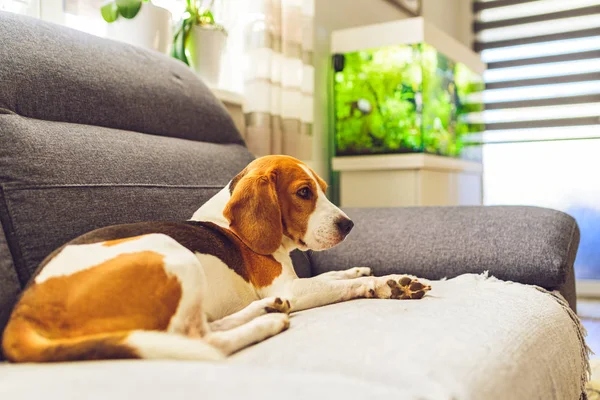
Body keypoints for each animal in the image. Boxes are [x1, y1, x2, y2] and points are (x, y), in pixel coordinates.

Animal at [1, 155, 432, 362]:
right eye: (304, 192)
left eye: (323, 188)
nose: (349, 224)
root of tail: (24, 311)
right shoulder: (292, 285)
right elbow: (342, 285)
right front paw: (386, 284)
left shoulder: (293, 283)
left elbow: (336, 275)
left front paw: (359, 268)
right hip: (172, 255)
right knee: (203, 341)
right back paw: (265, 324)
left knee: (211, 327)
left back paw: (266, 311)